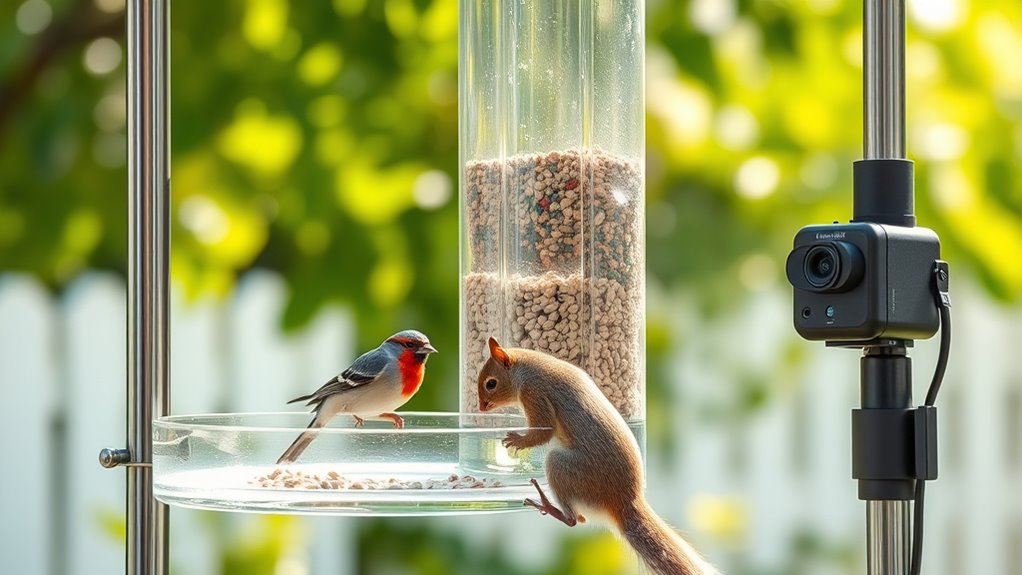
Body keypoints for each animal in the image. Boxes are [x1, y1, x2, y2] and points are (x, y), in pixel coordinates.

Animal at [477, 337, 719, 575]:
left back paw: (546, 504)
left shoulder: (535, 394)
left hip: (562, 466)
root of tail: (626, 502)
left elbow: (544, 433)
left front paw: (516, 440)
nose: (480, 408)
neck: (528, 369)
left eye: (491, 383)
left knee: (574, 520)